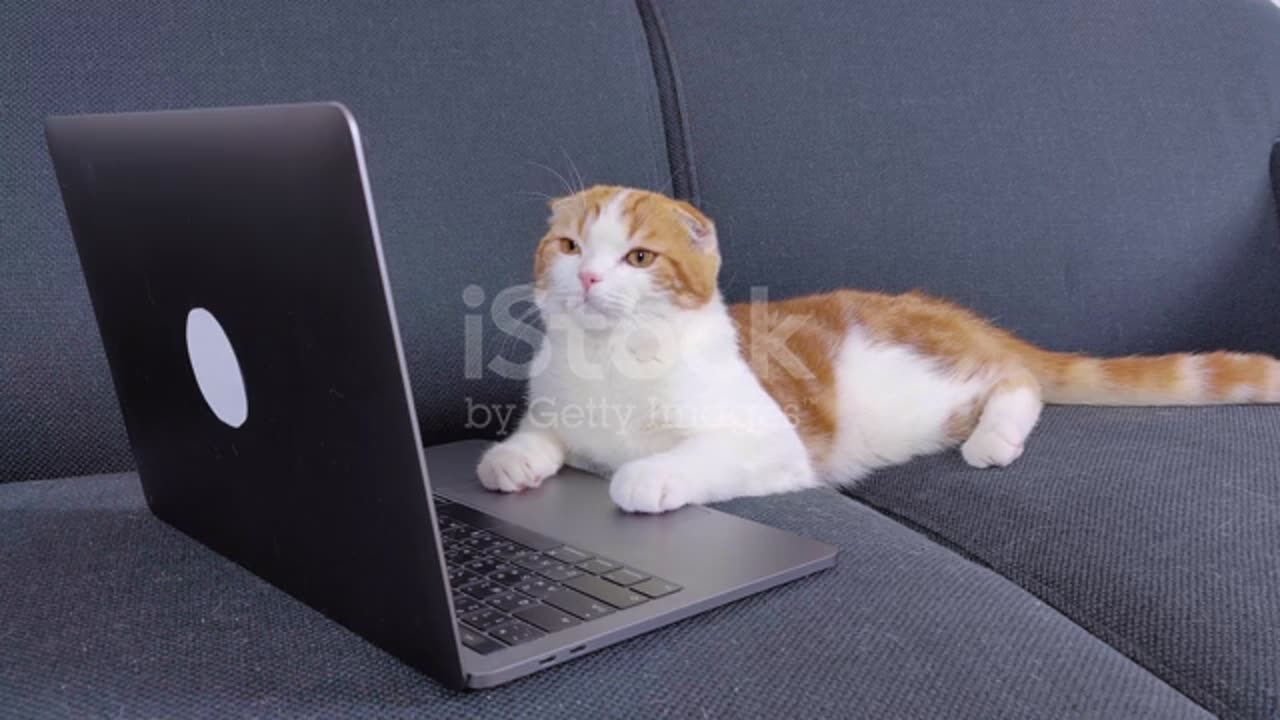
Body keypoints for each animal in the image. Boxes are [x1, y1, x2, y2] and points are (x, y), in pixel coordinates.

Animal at [478, 184, 1280, 509]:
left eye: (638, 258)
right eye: (570, 245)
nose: (586, 276)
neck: (608, 363)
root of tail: (939, 308)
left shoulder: (770, 443)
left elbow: (686, 459)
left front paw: (643, 478)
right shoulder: (556, 412)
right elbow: (539, 436)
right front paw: (513, 460)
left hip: (934, 387)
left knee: (1016, 379)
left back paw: (996, 437)